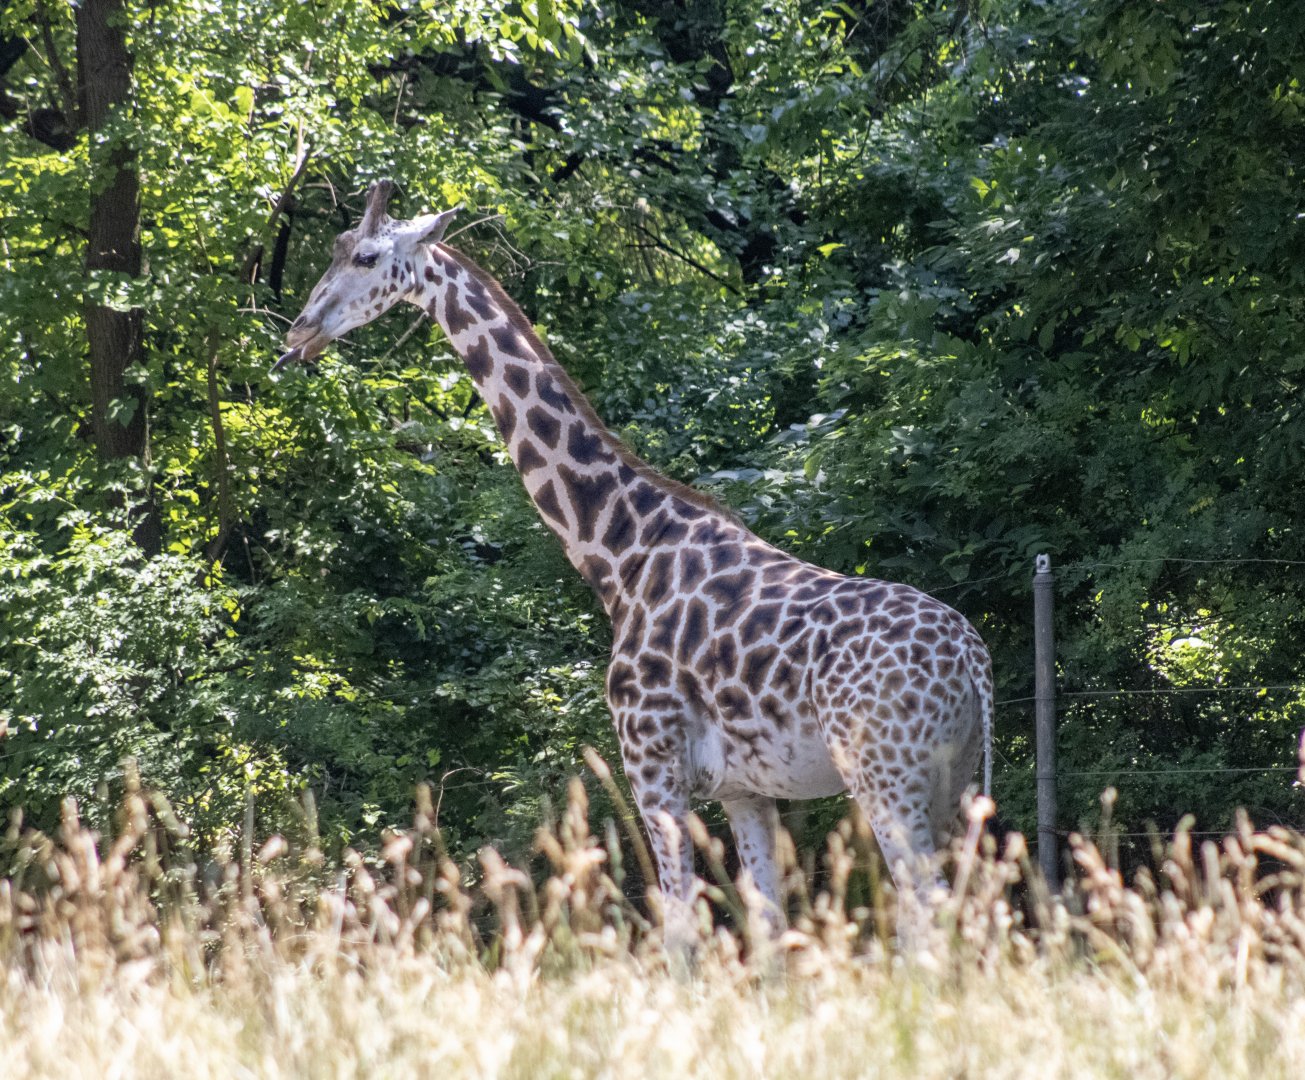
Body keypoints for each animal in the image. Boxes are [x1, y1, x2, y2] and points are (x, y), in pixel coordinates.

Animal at [278, 181, 995, 942]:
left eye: (365, 255)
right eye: (334, 250)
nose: (299, 331)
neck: (620, 555)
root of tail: (973, 662)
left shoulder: (650, 764)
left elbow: (678, 926)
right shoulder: (746, 789)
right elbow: (767, 929)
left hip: (884, 774)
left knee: (929, 913)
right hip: (954, 782)